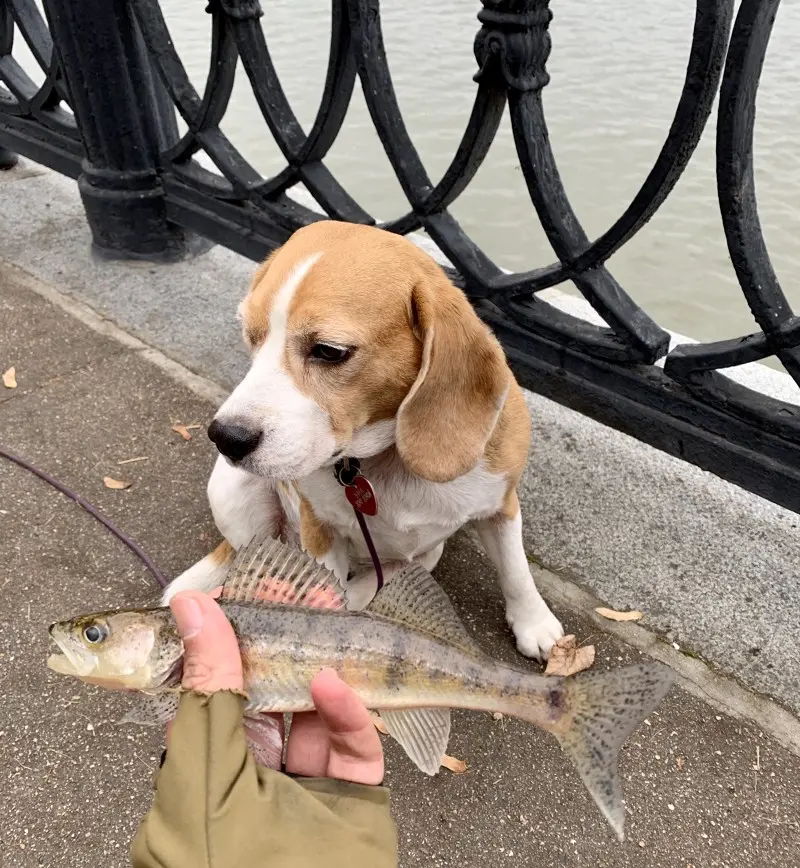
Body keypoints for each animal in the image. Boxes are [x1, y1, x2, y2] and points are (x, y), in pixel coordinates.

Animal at [162, 220, 564, 660]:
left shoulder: (501, 505)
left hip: (427, 552)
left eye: (328, 351)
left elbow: (516, 569)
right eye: (251, 338)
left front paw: (534, 623)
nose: (225, 437)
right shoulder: (319, 530)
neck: (386, 458)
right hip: (231, 490)